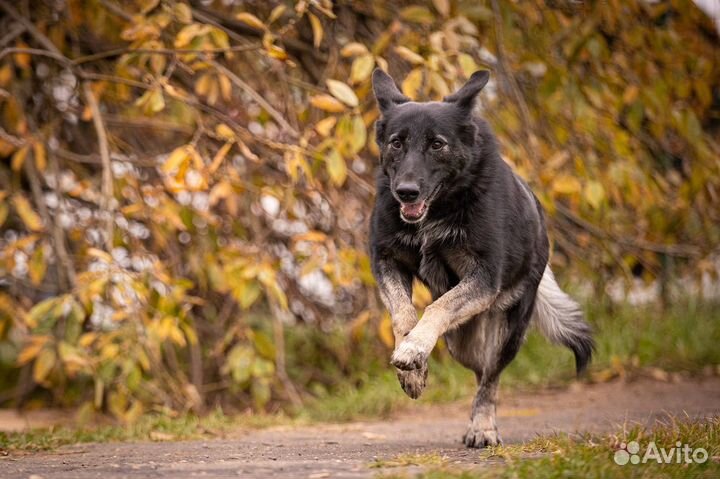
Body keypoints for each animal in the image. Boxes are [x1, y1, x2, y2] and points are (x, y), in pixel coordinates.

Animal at [368, 69, 592, 448]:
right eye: (397, 143)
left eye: (437, 144)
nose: (406, 192)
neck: (441, 208)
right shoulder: (386, 261)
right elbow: (403, 314)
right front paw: (412, 367)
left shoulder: (484, 278)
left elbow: (437, 307)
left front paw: (414, 350)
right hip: (462, 342)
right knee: (478, 370)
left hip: (508, 331)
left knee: (491, 376)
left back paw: (483, 427)